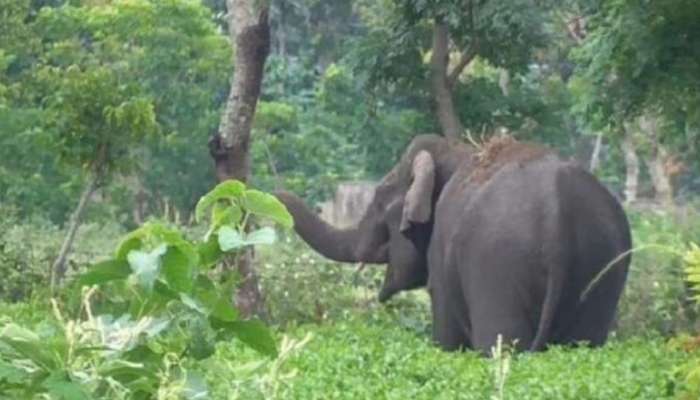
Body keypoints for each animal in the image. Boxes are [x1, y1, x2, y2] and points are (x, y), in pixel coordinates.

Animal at [276, 134, 632, 354]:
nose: (274, 192)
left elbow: (445, 330)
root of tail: (559, 218)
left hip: (498, 267)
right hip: (602, 268)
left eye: (378, 201)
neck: (457, 149)